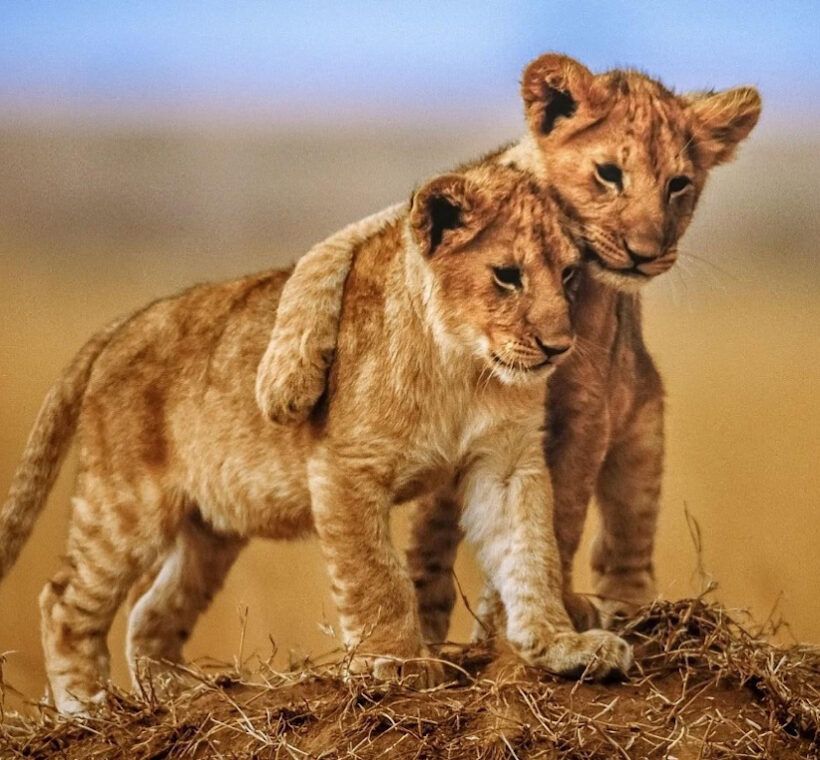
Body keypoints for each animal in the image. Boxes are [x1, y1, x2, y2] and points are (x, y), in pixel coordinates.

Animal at [0, 163, 631, 715]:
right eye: (507, 275)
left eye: (569, 274)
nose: (558, 347)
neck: (463, 369)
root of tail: (122, 325)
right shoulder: (345, 466)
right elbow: (376, 576)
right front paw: (396, 663)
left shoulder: (505, 463)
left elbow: (531, 551)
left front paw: (562, 646)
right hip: (125, 504)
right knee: (63, 600)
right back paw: (87, 708)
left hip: (211, 530)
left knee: (151, 612)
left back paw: (182, 696)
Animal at [253, 53, 761, 637]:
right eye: (609, 174)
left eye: (679, 184)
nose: (645, 253)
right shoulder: (413, 219)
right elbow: (325, 255)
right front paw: (284, 382)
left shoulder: (587, 409)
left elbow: (559, 516)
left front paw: (534, 614)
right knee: (432, 533)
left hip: (641, 433)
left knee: (624, 545)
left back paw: (625, 612)